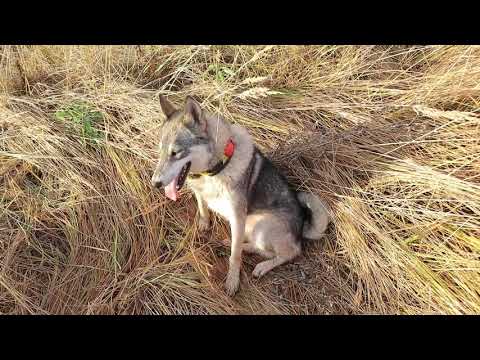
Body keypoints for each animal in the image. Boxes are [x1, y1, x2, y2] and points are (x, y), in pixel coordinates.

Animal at [151, 95, 330, 296]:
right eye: (160, 151)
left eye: (175, 152)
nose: (155, 183)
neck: (215, 169)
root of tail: (302, 228)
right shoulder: (202, 194)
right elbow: (203, 208)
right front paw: (204, 224)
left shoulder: (237, 217)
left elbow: (234, 257)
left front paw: (232, 281)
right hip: (252, 226)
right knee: (261, 248)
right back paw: (238, 246)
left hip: (261, 225)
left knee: (290, 252)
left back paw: (261, 266)